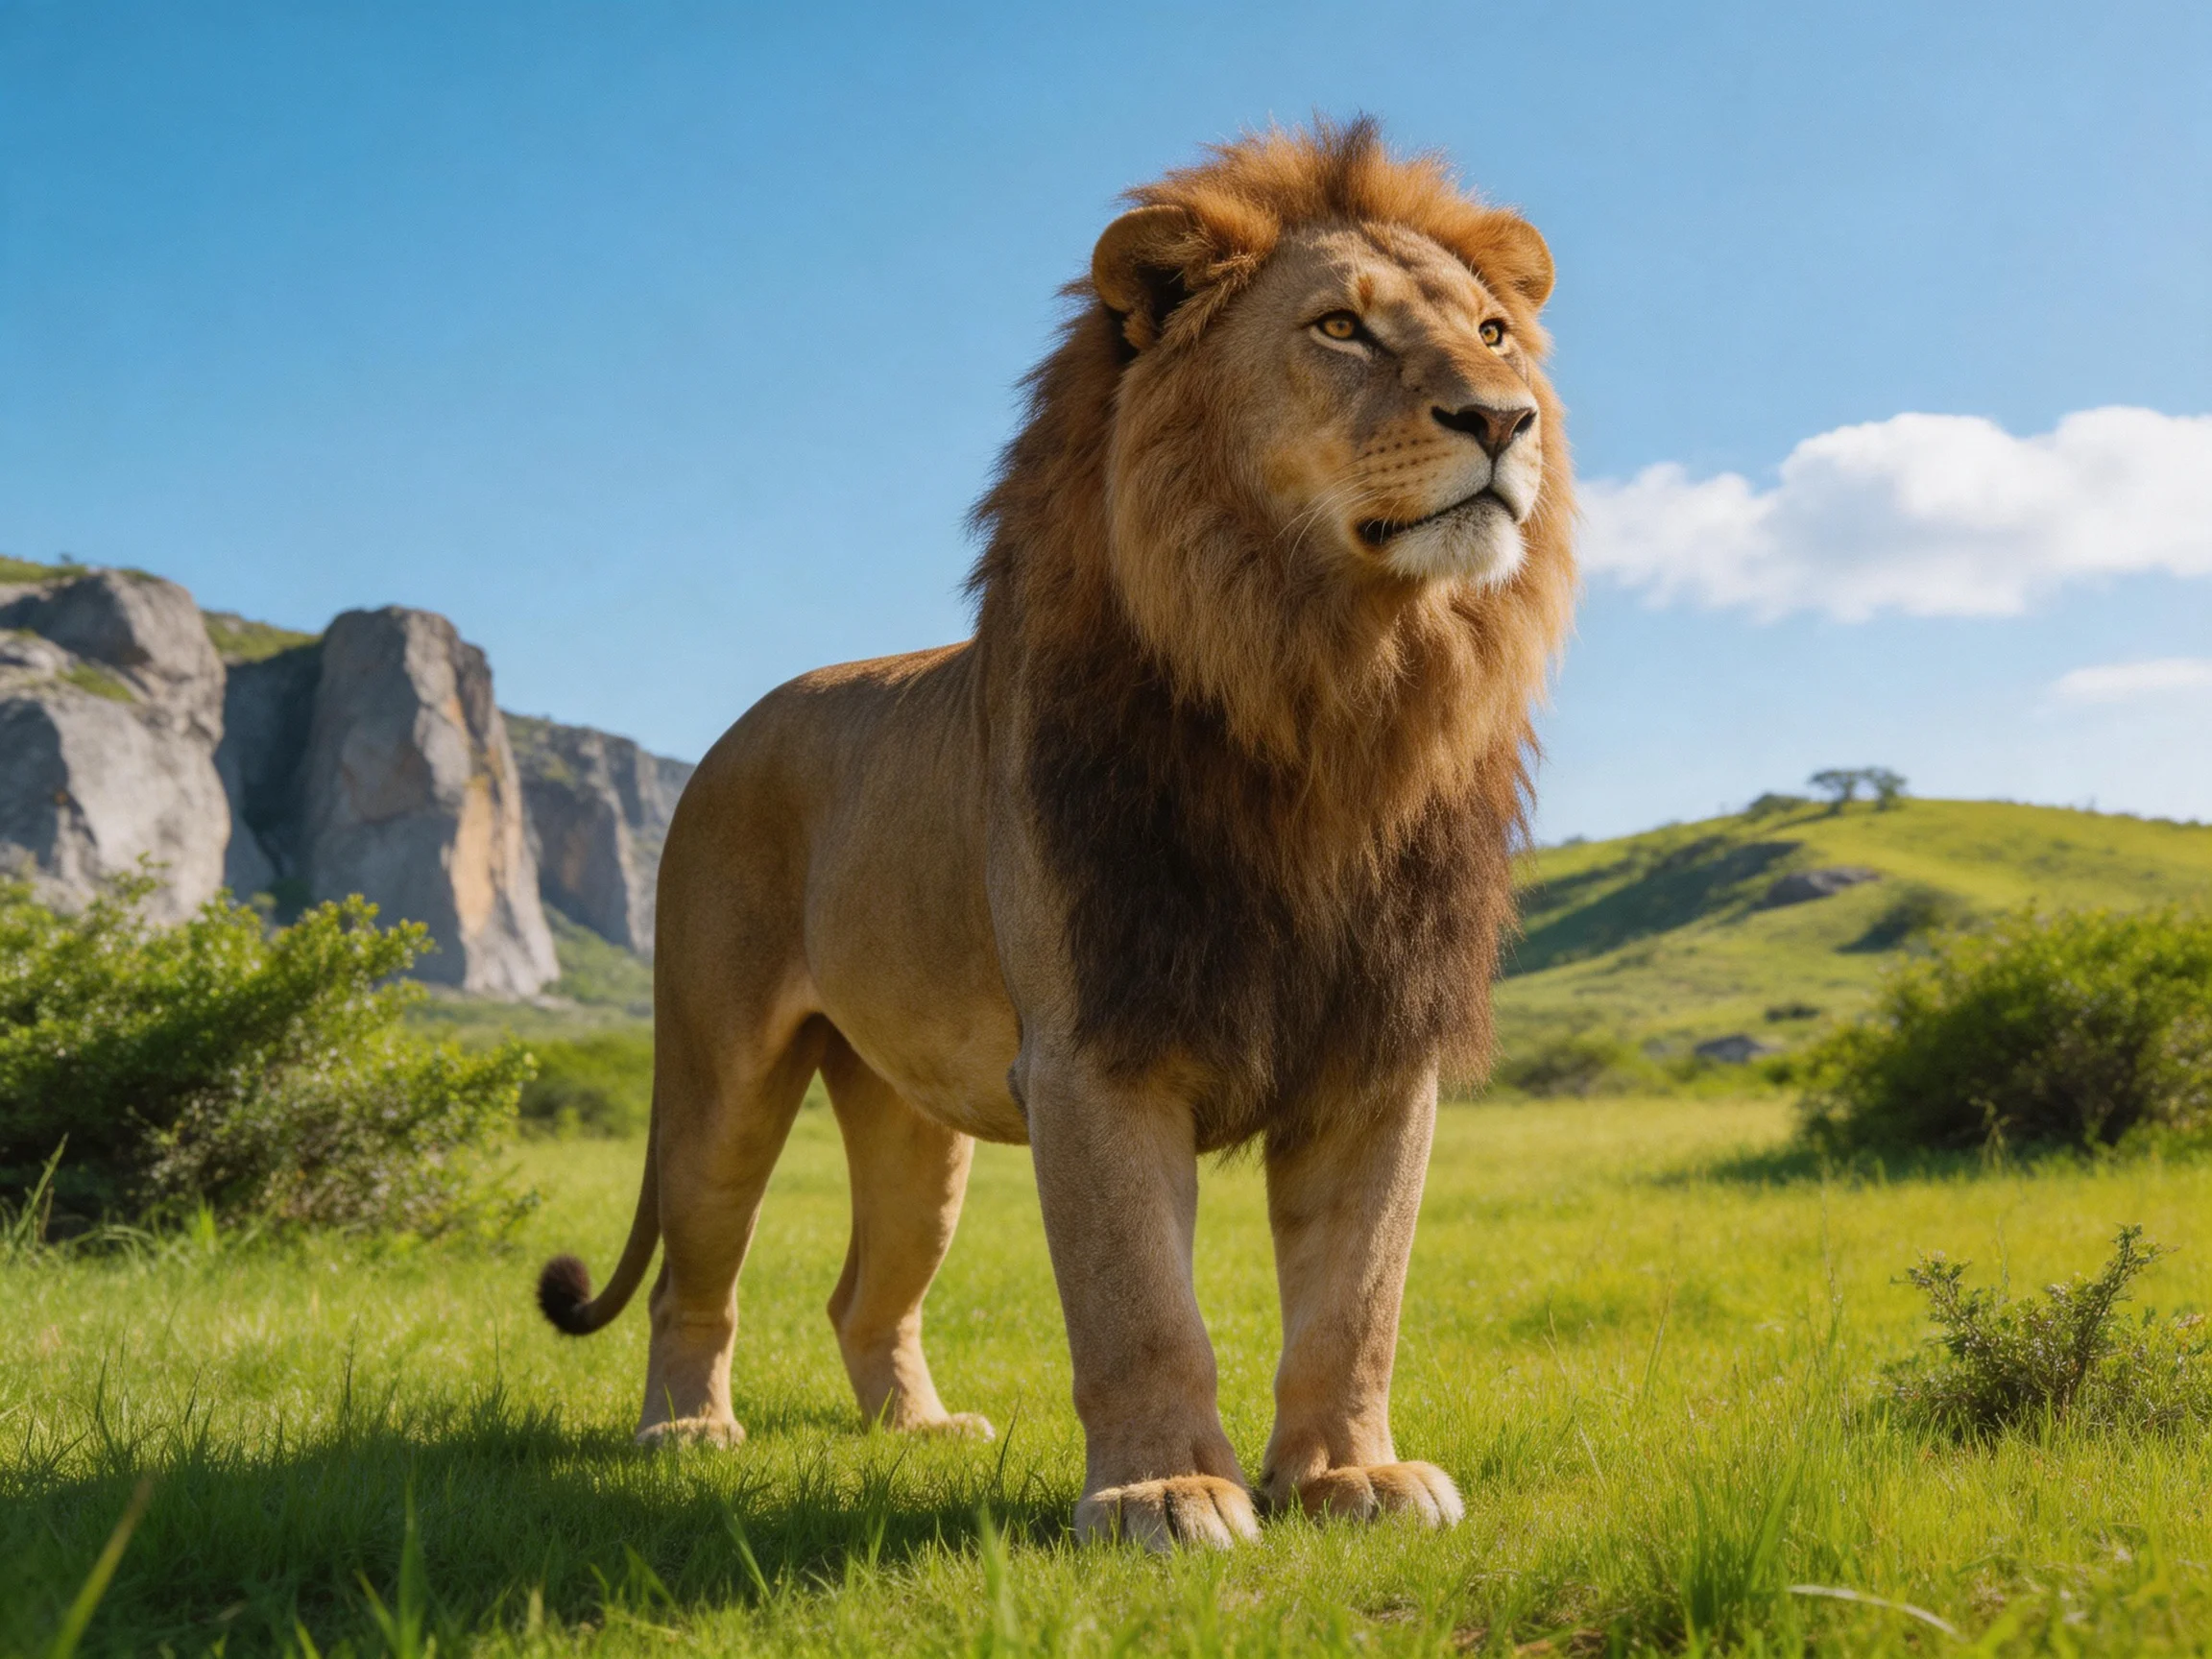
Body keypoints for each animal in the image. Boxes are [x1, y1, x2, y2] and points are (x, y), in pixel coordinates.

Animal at [536, 118, 1576, 1550]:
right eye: (1339, 330)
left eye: (1493, 332)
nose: (1502, 418)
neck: (1330, 684)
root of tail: (737, 729)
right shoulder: (1097, 1048)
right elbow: (1140, 1303)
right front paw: (1164, 1495)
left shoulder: (1376, 1052)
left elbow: (1356, 1302)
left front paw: (1348, 1476)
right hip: (718, 1074)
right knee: (694, 1275)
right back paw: (687, 1431)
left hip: (918, 1128)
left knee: (865, 1290)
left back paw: (918, 1431)